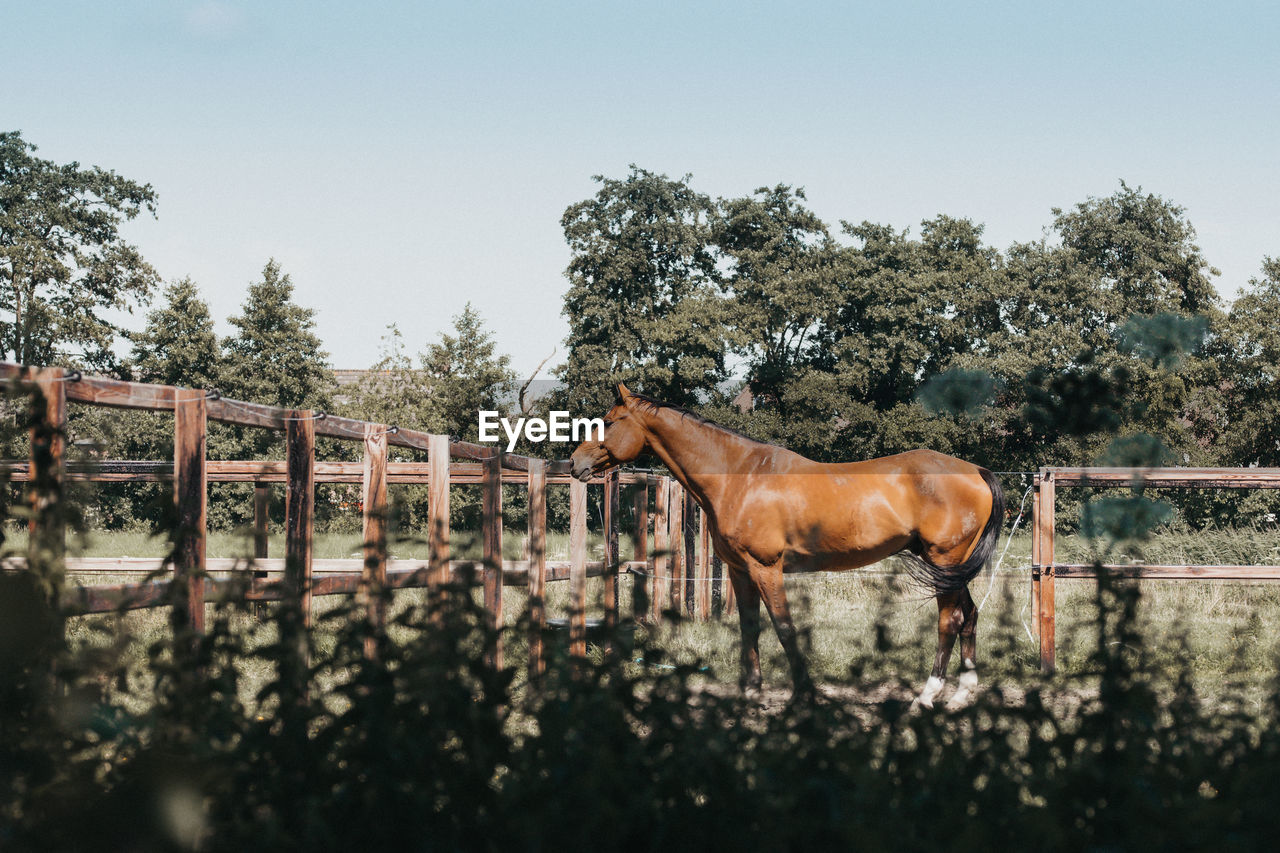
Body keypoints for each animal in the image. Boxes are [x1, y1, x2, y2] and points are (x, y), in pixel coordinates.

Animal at [569, 384, 1005, 708]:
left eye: (608, 422)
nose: (575, 464)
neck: (740, 476)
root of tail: (977, 470)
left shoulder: (766, 567)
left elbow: (782, 626)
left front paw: (803, 694)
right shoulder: (739, 570)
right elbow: (749, 626)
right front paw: (751, 692)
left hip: (944, 561)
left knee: (949, 621)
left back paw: (926, 697)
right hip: (952, 568)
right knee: (969, 616)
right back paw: (961, 696)